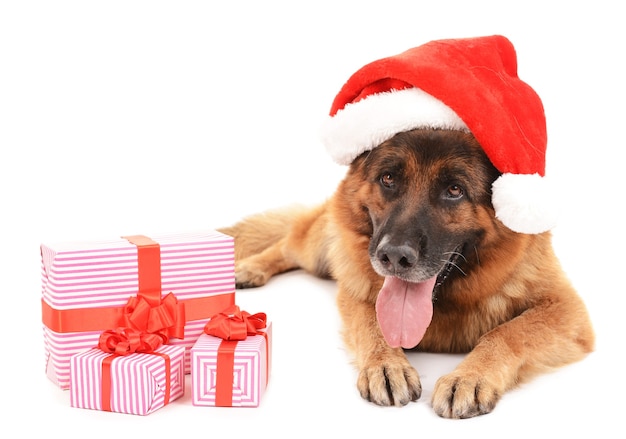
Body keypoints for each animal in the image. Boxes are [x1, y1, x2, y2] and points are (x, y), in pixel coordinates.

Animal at [221, 127, 596, 420]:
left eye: (454, 190)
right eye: (388, 179)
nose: (393, 256)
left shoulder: (565, 309)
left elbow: (507, 332)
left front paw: (471, 376)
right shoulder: (356, 291)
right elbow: (372, 323)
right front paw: (386, 364)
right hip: (316, 249)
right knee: (287, 243)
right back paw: (251, 267)